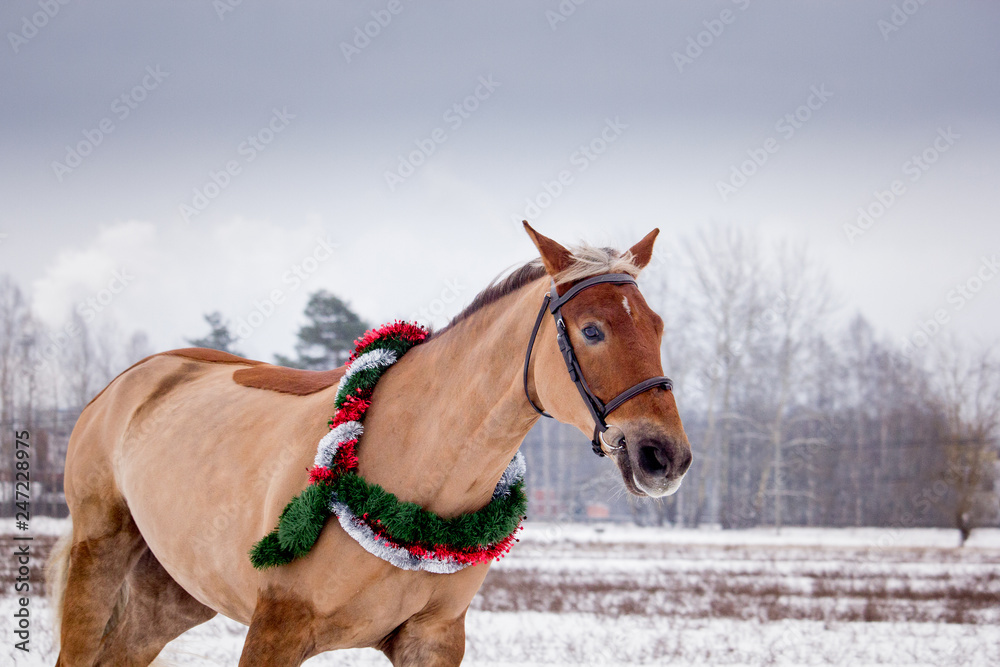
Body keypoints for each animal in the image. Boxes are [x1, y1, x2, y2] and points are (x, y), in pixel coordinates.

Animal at [48, 223, 692, 666]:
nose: (665, 457)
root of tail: (126, 382)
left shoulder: (431, 640)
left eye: (658, 326)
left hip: (174, 592)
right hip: (98, 555)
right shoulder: (276, 629)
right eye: (592, 330)